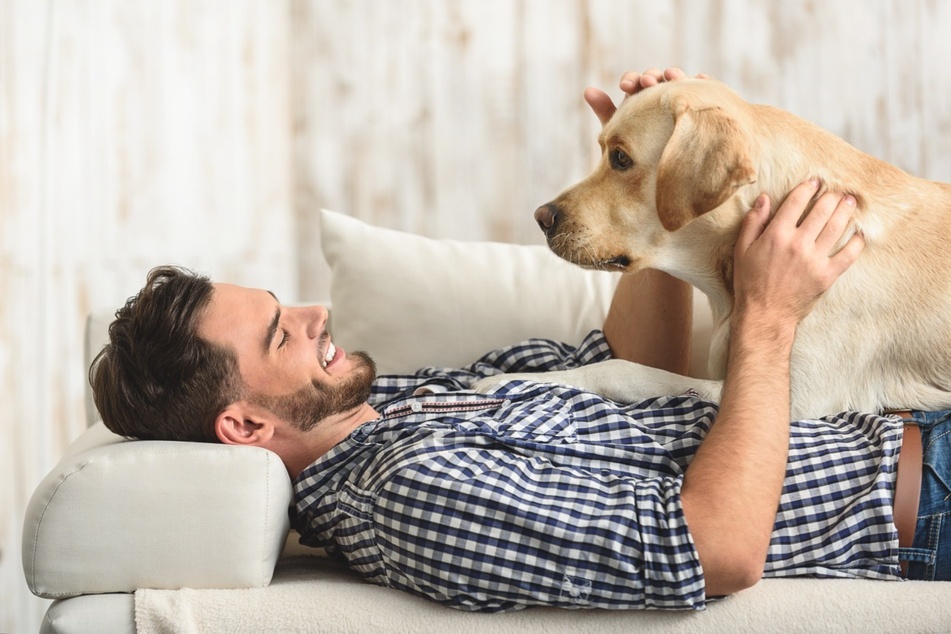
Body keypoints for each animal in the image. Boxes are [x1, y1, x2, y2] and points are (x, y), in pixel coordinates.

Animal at [480, 76, 951, 420]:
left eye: (620, 158)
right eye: (603, 152)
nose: (541, 217)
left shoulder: (798, 400)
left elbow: (622, 368)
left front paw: (505, 381)